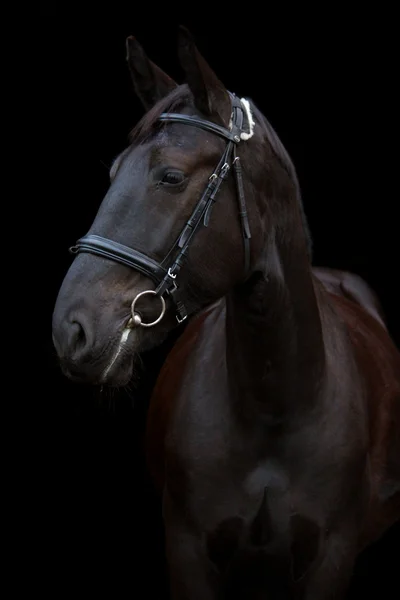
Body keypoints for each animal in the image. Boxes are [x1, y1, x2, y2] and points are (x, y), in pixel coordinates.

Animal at [51, 25, 398, 596]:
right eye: (114, 171)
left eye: (170, 176)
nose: (71, 330)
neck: (275, 405)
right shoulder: (189, 553)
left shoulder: (333, 558)